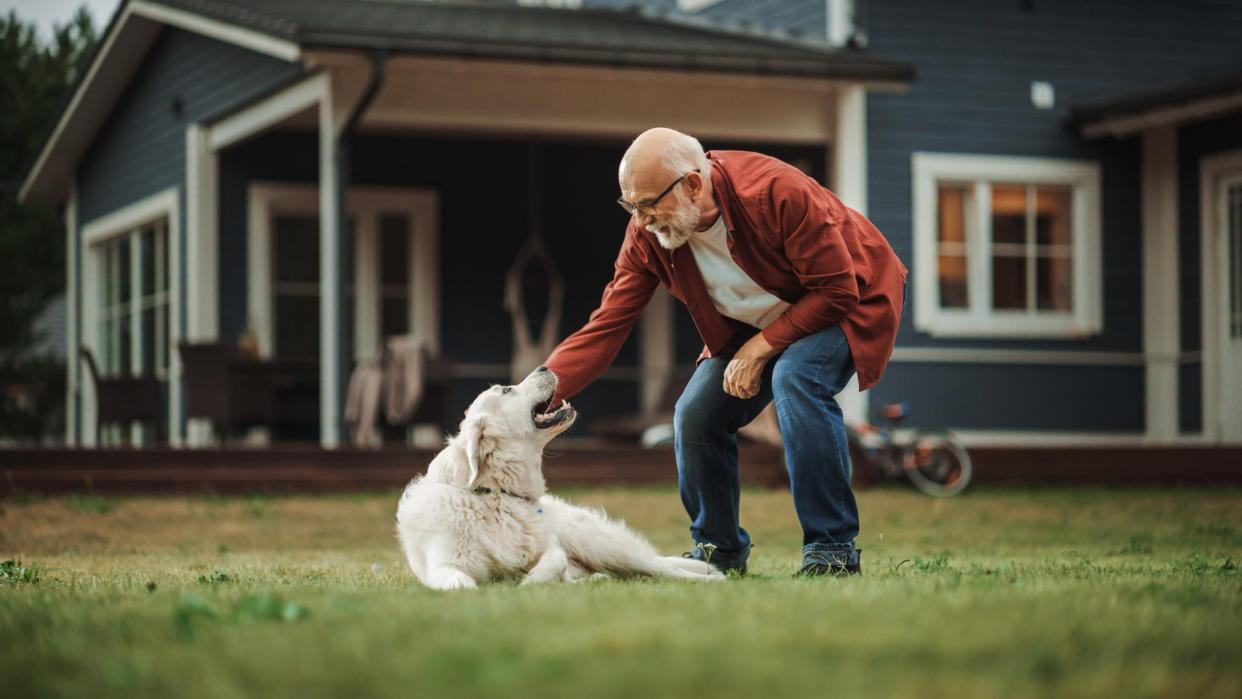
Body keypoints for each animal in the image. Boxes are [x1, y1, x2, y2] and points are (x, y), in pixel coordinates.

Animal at [397, 367, 725, 590]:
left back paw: (713, 580)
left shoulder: (552, 549)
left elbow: (553, 559)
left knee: (662, 569)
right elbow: (463, 586)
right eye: (506, 390)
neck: (495, 494)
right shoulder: (445, 566)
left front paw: (530, 582)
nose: (544, 366)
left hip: (602, 546)